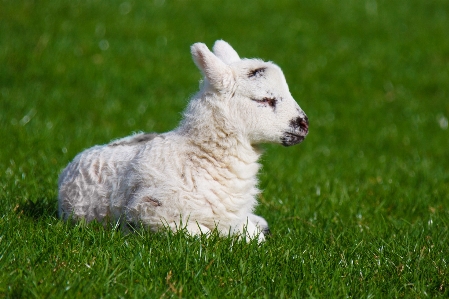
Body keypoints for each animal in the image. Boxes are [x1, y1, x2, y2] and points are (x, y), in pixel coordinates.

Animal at [57, 39, 306, 243]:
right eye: (264, 99)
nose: (304, 124)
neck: (201, 157)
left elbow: (252, 236)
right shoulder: (150, 214)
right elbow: (205, 235)